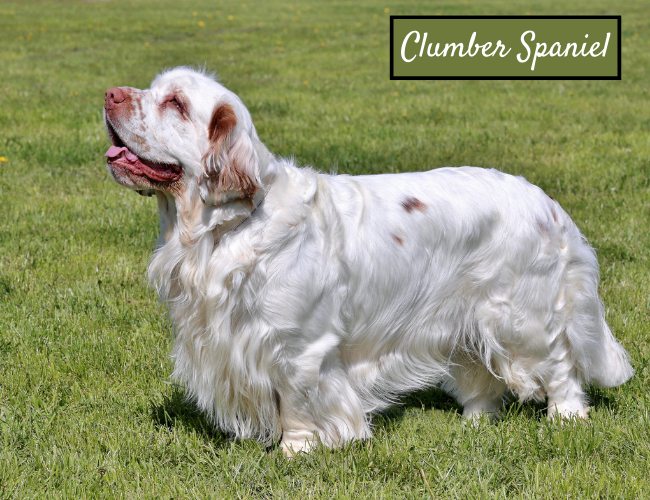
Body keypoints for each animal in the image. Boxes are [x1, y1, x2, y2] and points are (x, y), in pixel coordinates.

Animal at [104, 67, 632, 458]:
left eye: (175, 103)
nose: (109, 94)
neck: (226, 228)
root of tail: (548, 203)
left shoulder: (300, 346)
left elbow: (296, 402)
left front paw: (295, 451)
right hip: (465, 315)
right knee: (481, 371)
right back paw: (475, 421)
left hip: (521, 316)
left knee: (560, 362)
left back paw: (567, 415)